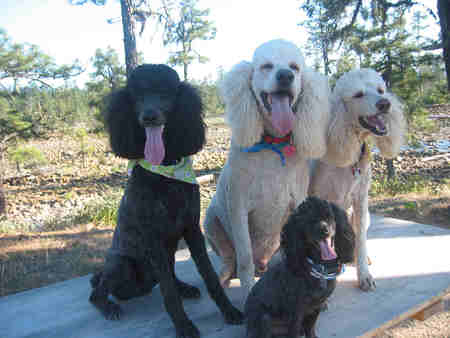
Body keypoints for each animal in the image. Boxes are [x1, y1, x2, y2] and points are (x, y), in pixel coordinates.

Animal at [90, 64, 243, 338]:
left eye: (165, 92)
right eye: (137, 95)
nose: (149, 116)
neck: (165, 172)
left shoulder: (191, 229)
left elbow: (209, 275)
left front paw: (229, 310)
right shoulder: (153, 238)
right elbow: (168, 294)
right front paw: (184, 326)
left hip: (167, 254)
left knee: (169, 277)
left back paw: (185, 288)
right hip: (120, 264)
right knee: (97, 291)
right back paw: (108, 306)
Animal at [246, 197, 356, 336]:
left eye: (329, 216)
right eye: (308, 221)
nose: (324, 230)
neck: (320, 268)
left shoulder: (316, 306)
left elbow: (310, 327)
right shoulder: (296, 311)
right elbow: (294, 330)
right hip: (264, 319)